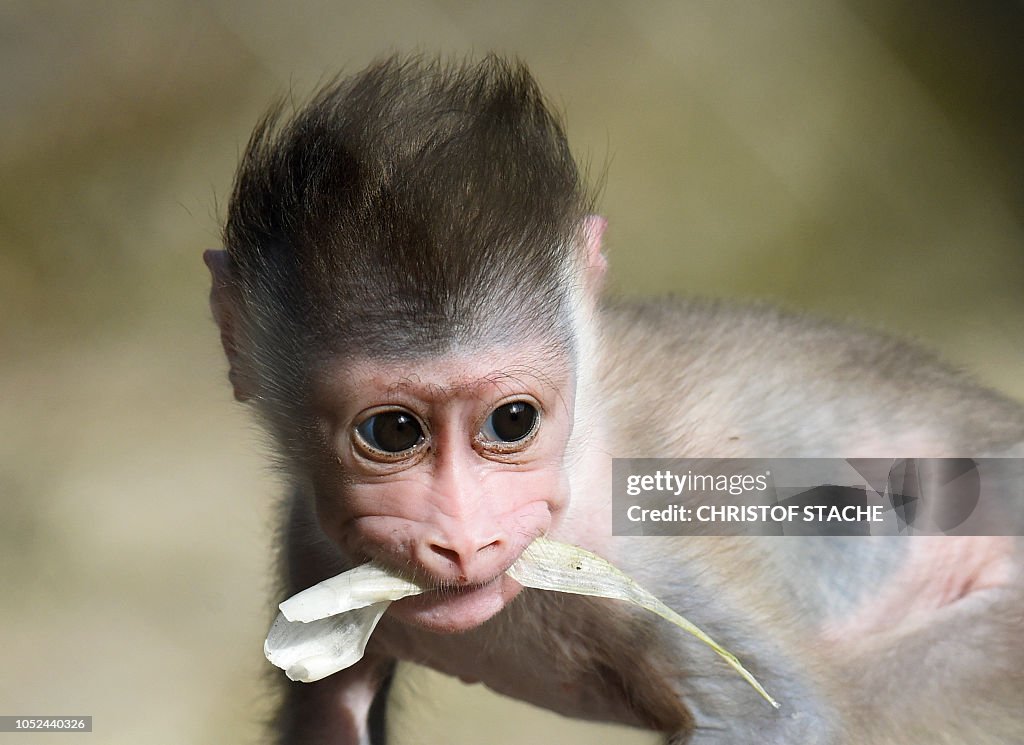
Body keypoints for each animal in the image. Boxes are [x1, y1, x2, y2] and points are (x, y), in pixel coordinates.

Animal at [205, 55, 1024, 744]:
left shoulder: (655, 547)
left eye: (513, 420)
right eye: (393, 431)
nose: (463, 541)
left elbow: (788, 718)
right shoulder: (310, 544)